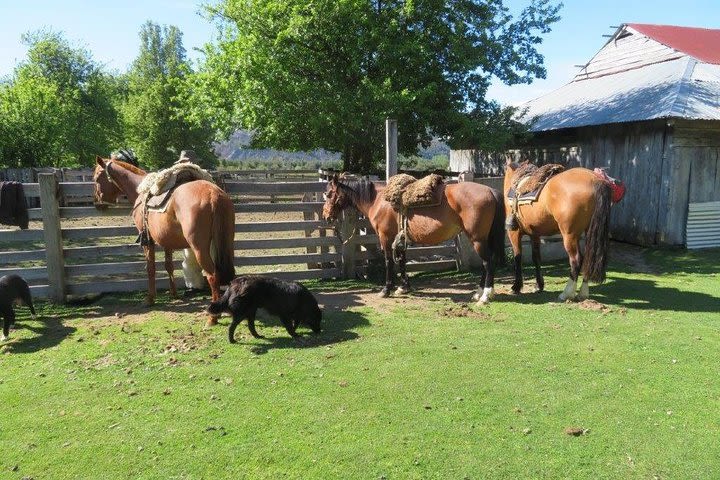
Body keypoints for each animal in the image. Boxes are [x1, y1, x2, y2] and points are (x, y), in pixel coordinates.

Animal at [91, 156, 235, 324]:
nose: (97, 201)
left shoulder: (148, 242)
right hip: (227, 242)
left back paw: (213, 317)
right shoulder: (167, 242)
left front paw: (150, 298)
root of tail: (213, 194)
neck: (141, 192)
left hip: (200, 248)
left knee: (213, 276)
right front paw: (174, 293)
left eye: (96, 178)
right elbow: (169, 266)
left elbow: (151, 268)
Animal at [322, 174, 506, 306]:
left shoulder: (385, 237)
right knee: (488, 262)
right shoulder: (401, 239)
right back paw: (478, 293)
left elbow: (389, 262)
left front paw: (386, 289)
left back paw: (485, 295)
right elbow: (402, 261)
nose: (326, 216)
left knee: (488, 262)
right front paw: (403, 287)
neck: (379, 200)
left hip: (477, 239)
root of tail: (491, 191)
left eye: (330, 194)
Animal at [500, 158, 624, 300]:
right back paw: (583, 293)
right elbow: (536, 257)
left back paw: (566, 293)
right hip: (587, 232)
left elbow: (518, 257)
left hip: (569, 235)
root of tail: (596, 180)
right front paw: (539, 285)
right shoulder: (535, 234)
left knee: (576, 260)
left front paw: (516, 287)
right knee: (586, 259)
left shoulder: (514, 233)